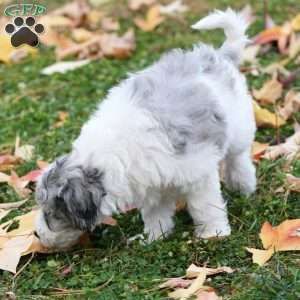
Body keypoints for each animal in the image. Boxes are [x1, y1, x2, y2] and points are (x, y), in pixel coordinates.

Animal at [34, 9, 255, 248]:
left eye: (52, 214)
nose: (37, 234)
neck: (107, 156)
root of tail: (220, 55)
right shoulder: (151, 183)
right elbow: (155, 212)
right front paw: (155, 237)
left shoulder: (199, 173)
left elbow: (205, 206)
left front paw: (213, 233)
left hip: (239, 127)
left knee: (238, 158)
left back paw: (244, 185)